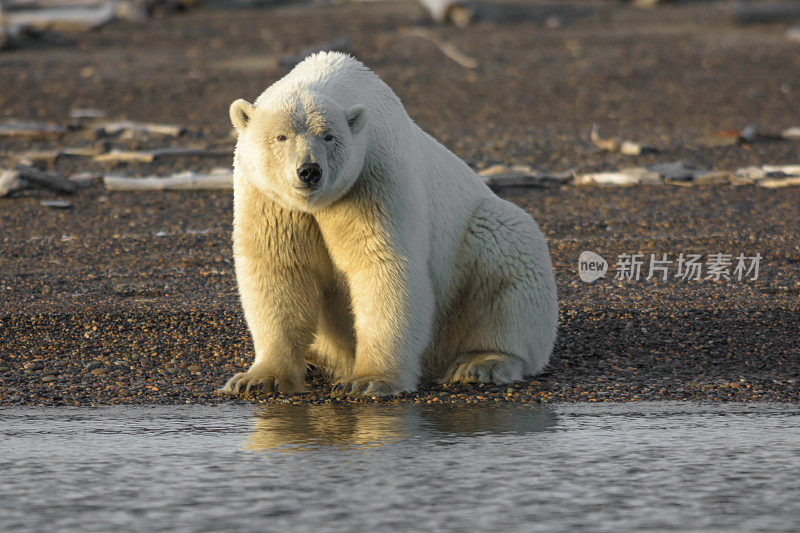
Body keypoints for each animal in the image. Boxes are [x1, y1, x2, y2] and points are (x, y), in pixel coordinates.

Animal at [219, 52, 556, 396]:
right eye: (281, 136)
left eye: (328, 136)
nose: (309, 171)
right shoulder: (268, 198)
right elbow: (279, 269)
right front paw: (258, 379)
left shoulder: (374, 177)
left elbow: (382, 265)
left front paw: (368, 380)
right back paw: (312, 360)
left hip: (473, 250)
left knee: (507, 251)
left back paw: (481, 363)